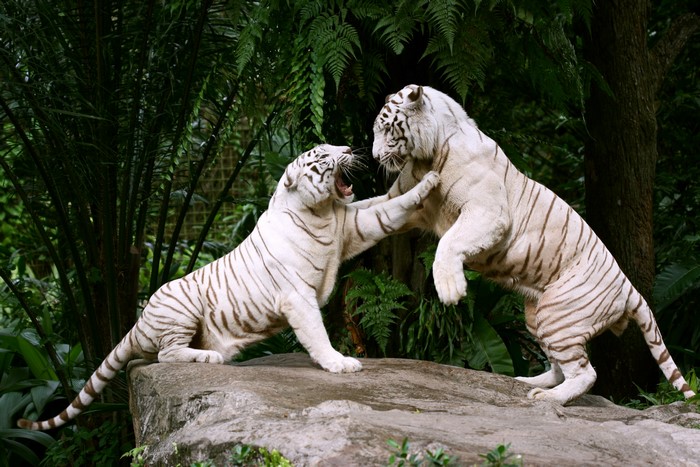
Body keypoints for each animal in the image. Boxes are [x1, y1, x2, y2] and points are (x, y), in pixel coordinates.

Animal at [18, 144, 440, 430]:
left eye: (334, 147)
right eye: (321, 156)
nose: (351, 149)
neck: (323, 212)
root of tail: (139, 322)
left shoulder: (353, 225)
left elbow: (386, 207)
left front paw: (423, 178)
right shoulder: (298, 296)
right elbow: (317, 333)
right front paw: (339, 363)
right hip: (181, 309)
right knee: (166, 354)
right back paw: (211, 358)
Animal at [366, 84, 695, 405]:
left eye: (387, 129)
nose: (375, 157)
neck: (427, 155)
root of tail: (628, 286)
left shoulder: (488, 212)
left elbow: (449, 242)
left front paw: (451, 289)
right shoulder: (405, 201)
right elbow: (370, 211)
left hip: (559, 315)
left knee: (585, 373)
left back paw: (548, 398)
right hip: (539, 316)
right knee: (560, 367)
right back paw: (528, 382)